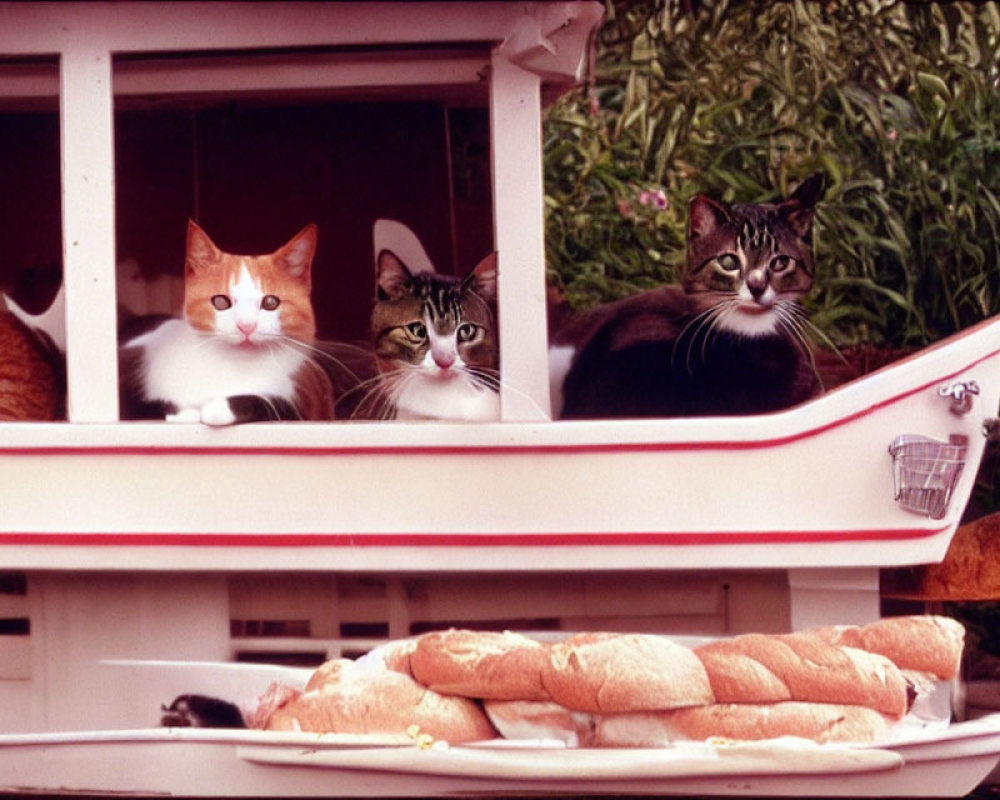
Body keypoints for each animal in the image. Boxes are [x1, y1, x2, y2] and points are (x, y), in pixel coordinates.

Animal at [118, 220, 334, 424]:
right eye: (220, 302)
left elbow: (269, 405)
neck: (233, 364)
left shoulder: (297, 404)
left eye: (271, 302)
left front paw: (215, 408)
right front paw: (183, 412)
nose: (246, 326)